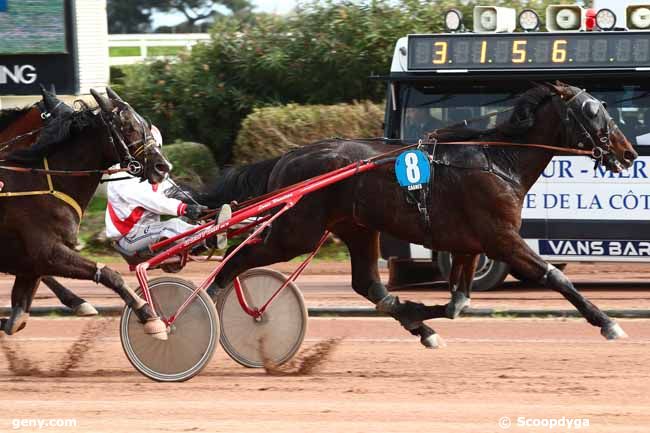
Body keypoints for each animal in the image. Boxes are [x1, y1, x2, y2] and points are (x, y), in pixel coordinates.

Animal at [0, 86, 172, 340]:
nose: (163, 167)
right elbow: (110, 274)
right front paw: (148, 315)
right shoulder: (46, 252)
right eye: (128, 127)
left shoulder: (30, 263)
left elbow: (18, 318)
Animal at [194, 82, 636, 348]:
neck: (498, 160)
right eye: (593, 110)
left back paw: (419, 326)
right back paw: (206, 304)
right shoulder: (502, 238)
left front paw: (420, 313)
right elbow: (556, 277)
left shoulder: (469, 245)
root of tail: (288, 156)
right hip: (297, 231)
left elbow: (458, 302)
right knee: (238, 257)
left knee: (367, 284)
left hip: (357, 228)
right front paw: (607, 322)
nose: (628, 152)